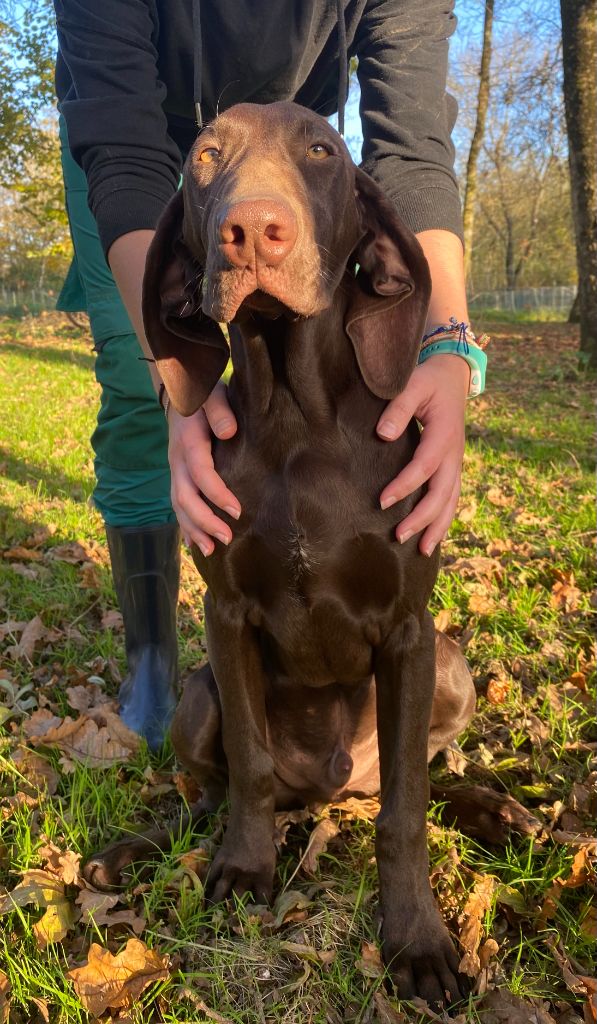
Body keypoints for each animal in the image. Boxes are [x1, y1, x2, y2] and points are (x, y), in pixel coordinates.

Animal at [85, 101, 536, 1007]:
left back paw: (494, 812)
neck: (298, 420)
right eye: (204, 156)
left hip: (448, 661)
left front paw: (417, 940)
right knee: (211, 791)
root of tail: (329, 789)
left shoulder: (406, 628)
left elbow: (406, 812)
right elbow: (252, 769)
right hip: (197, 695)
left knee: (421, 771)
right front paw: (244, 867)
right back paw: (134, 851)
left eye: (323, 151)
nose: (253, 233)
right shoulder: (226, 616)